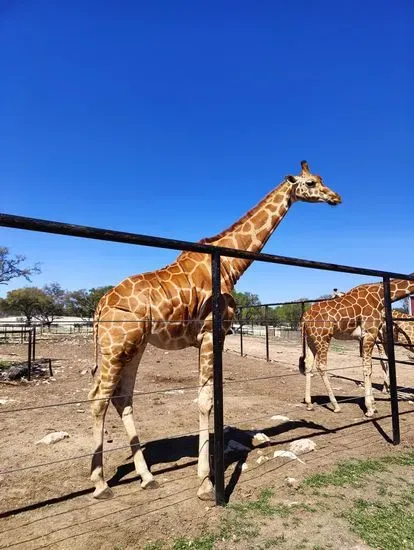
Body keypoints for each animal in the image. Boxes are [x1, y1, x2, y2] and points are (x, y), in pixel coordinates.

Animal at [89, 160, 342, 500]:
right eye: (312, 182)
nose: (336, 197)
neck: (229, 265)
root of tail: (100, 305)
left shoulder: (211, 338)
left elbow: (211, 397)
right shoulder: (211, 334)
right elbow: (206, 401)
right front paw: (206, 483)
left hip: (135, 346)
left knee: (122, 398)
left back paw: (147, 476)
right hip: (115, 346)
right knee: (98, 400)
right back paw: (101, 484)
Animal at [300, 280, 414, 418]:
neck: (380, 295)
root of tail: (305, 317)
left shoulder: (371, 336)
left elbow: (371, 366)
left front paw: (373, 405)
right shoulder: (370, 333)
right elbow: (367, 368)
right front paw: (369, 408)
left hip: (311, 339)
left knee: (308, 364)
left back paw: (309, 403)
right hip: (323, 338)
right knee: (321, 366)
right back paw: (336, 406)